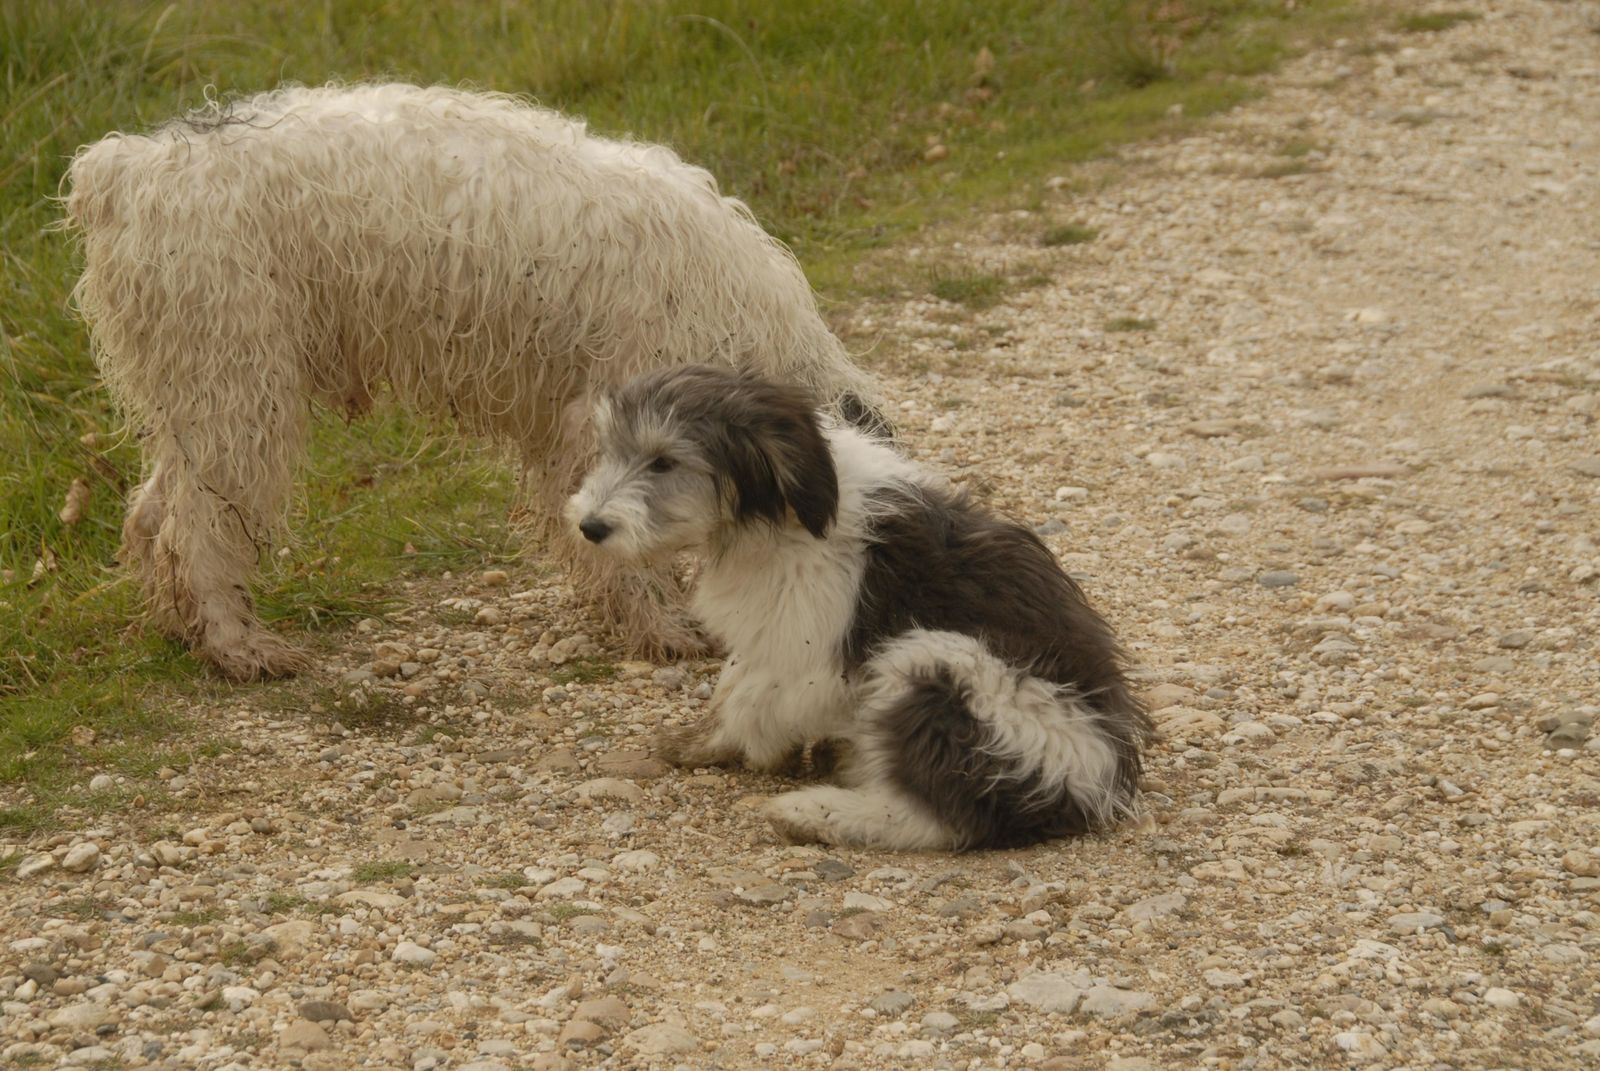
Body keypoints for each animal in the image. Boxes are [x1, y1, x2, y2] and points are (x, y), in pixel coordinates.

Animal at [61, 83, 884, 681]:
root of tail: (129, 169)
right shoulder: (601, 422)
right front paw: (656, 625)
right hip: (237, 385)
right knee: (194, 530)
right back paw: (238, 646)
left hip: (203, 391)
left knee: (152, 517)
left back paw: (188, 631)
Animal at [566, 365, 1151, 850]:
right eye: (610, 449)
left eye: (664, 461)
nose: (589, 526)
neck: (784, 514)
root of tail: (1094, 783)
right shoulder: (776, 632)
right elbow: (737, 681)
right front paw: (703, 740)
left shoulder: (817, 647)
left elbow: (754, 698)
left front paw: (743, 744)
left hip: (943, 668)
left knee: (946, 818)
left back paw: (814, 812)